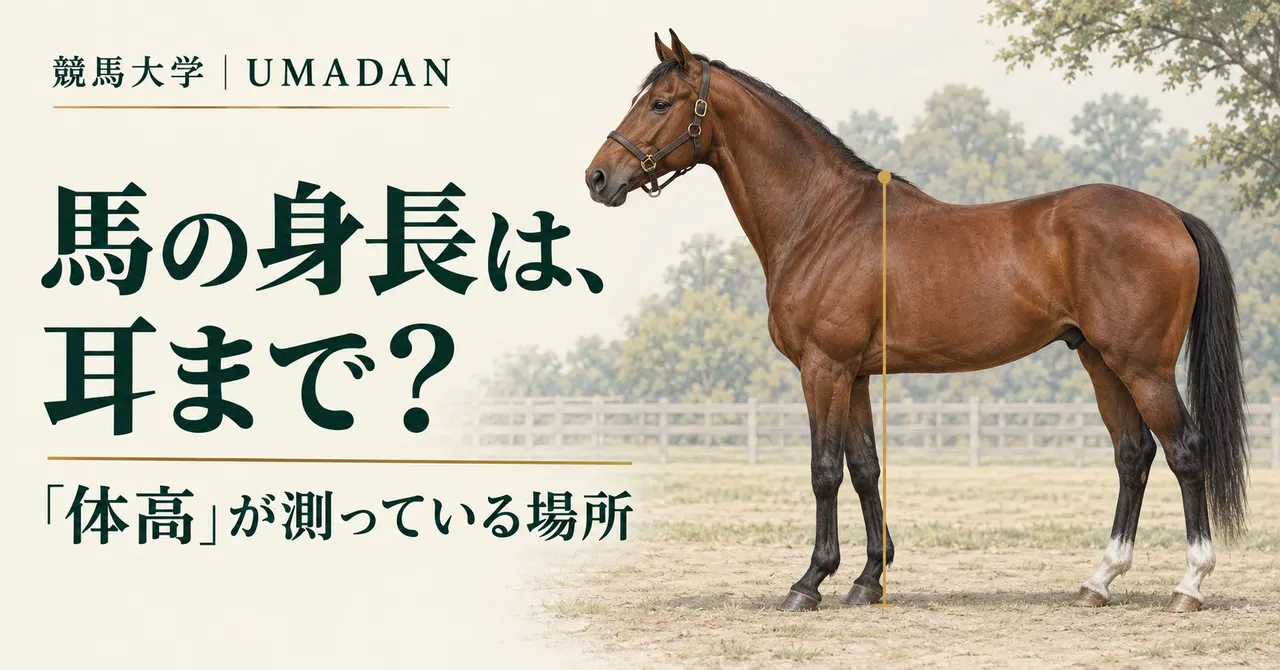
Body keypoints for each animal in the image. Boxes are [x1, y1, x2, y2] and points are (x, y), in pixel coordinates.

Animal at [584, 30, 1249, 613]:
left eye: (661, 103)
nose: (598, 177)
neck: (822, 219)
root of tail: (1171, 214)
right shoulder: (853, 375)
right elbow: (864, 470)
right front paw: (867, 579)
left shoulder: (822, 369)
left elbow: (824, 471)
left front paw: (810, 581)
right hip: (1100, 361)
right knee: (1132, 455)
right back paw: (1099, 581)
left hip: (1143, 367)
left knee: (1185, 451)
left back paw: (1189, 585)